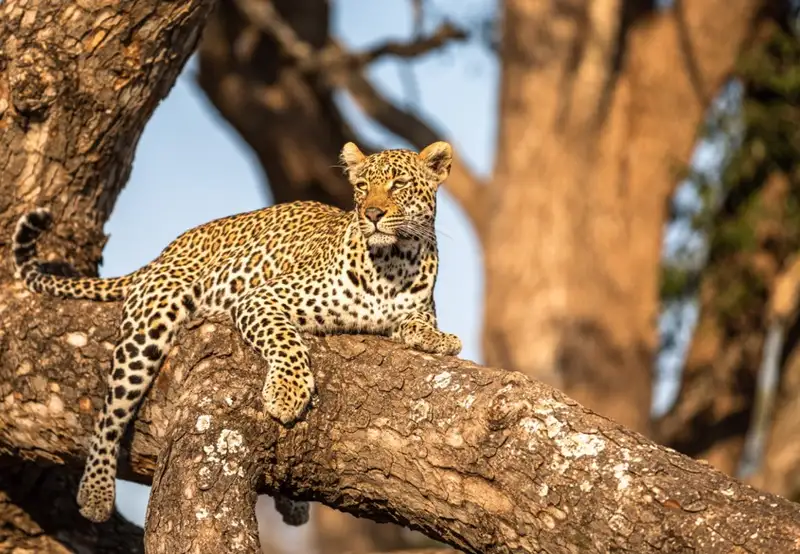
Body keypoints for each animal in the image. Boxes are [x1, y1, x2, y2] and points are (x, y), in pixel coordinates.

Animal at [11, 141, 462, 525]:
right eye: (362, 187)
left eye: (398, 184)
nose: (371, 214)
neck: (393, 263)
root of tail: (165, 253)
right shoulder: (260, 298)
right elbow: (287, 341)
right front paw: (287, 392)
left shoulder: (417, 308)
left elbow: (419, 324)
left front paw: (441, 340)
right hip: (152, 322)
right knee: (111, 411)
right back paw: (96, 491)